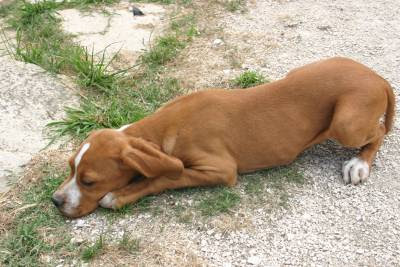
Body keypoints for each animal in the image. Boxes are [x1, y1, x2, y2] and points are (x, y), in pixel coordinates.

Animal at [52, 57, 394, 219]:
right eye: (69, 168)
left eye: (89, 182)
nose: (55, 201)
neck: (161, 128)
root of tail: (377, 77)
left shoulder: (219, 169)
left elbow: (162, 178)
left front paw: (120, 195)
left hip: (346, 123)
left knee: (379, 132)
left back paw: (359, 164)